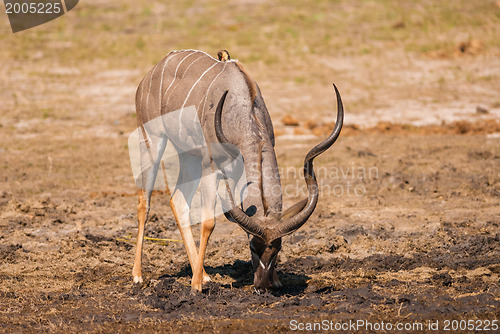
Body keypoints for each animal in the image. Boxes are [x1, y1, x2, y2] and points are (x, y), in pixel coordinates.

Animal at [131, 49, 344, 292]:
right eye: (253, 247)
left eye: (277, 248)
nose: (263, 285)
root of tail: (153, 71)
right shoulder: (211, 168)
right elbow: (209, 222)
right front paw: (195, 286)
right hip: (152, 141)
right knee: (144, 204)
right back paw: (138, 275)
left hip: (189, 157)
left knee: (177, 200)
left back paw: (203, 274)